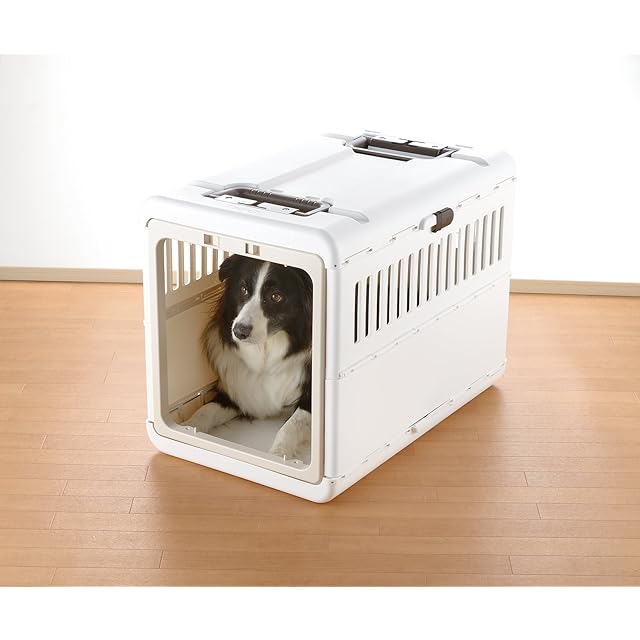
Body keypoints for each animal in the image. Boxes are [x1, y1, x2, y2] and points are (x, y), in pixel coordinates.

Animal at [187, 254, 313, 461]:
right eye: (244, 289)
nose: (239, 331)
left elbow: (292, 425)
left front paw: (279, 455)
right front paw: (186, 427)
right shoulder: (237, 393)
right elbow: (204, 411)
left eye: (276, 296)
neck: (265, 354)